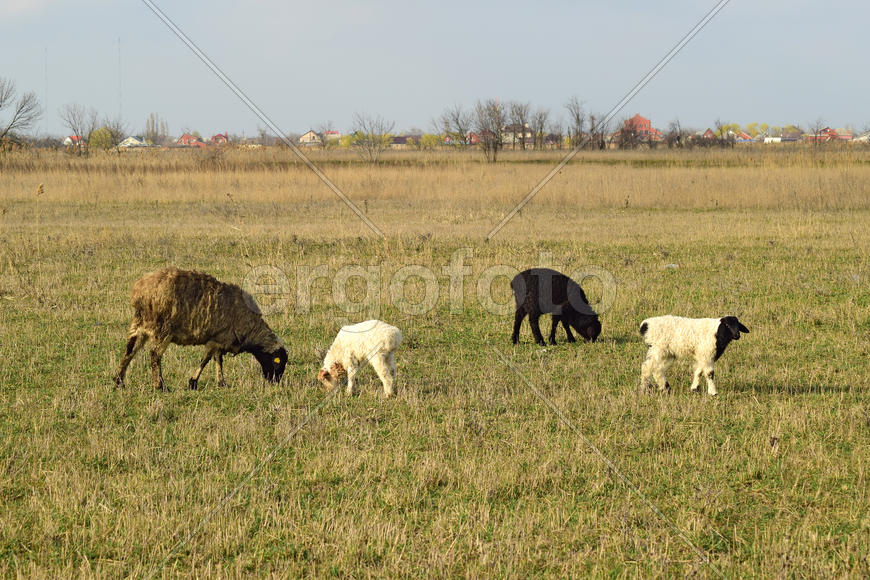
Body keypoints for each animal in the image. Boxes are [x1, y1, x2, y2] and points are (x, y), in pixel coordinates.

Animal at [113, 267, 288, 391]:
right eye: (277, 362)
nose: (275, 382)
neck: (250, 329)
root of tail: (140, 292)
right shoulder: (217, 339)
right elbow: (205, 360)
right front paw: (193, 382)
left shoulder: (219, 340)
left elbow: (218, 360)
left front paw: (221, 383)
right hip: (162, 329)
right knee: (154, 355)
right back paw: (160, 386)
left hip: (139, 325)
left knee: (129, 351)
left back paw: (119, 381)